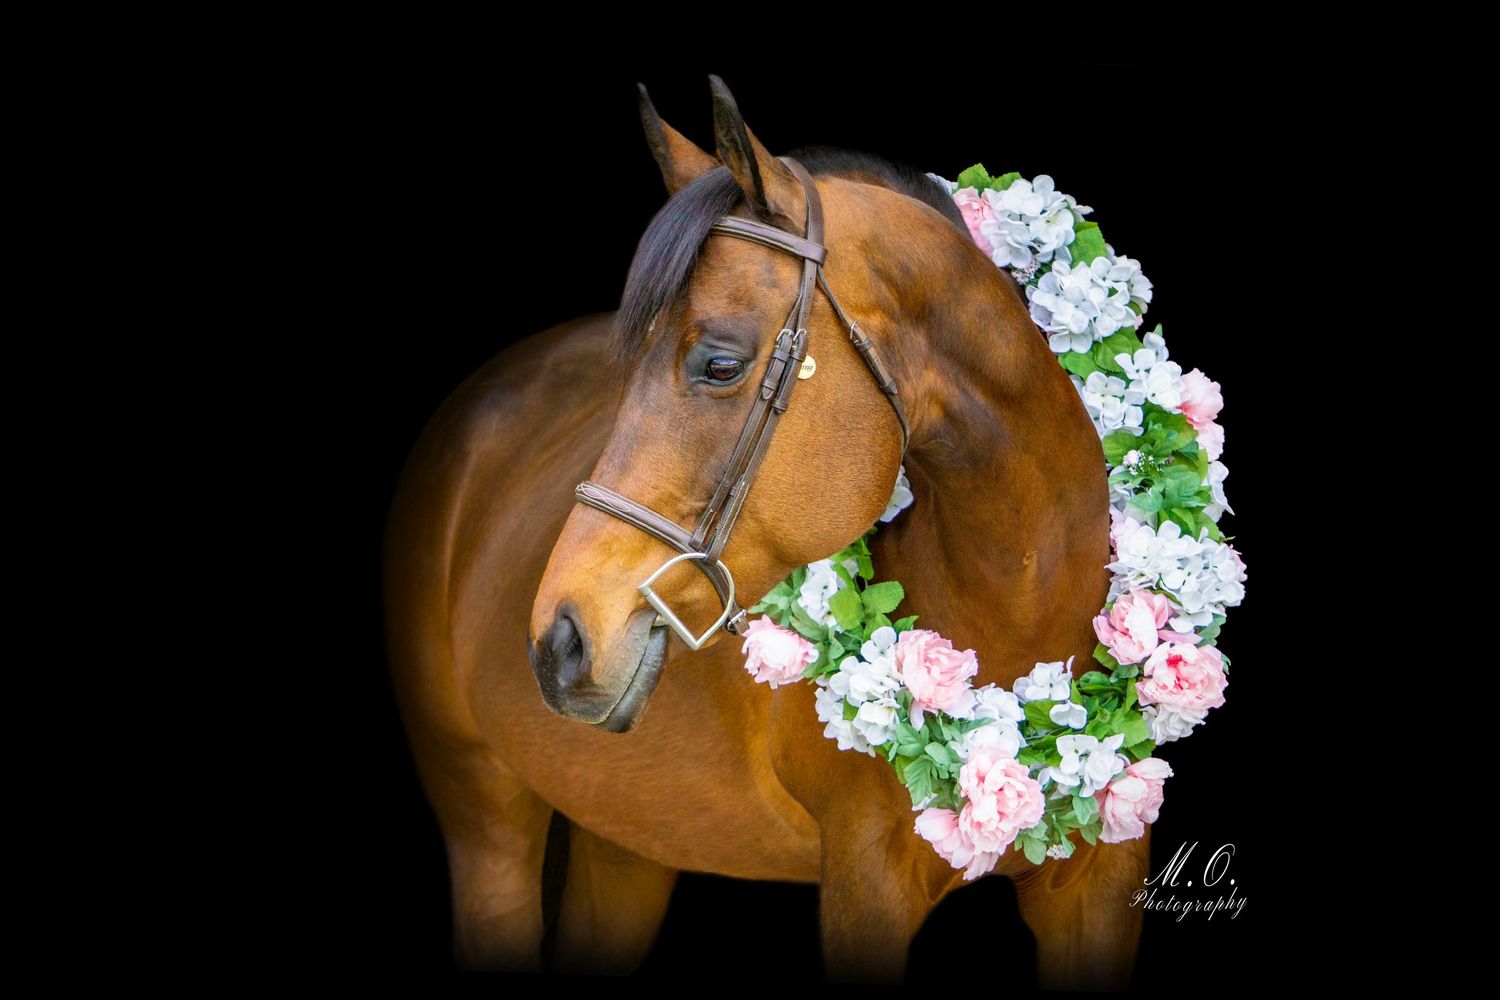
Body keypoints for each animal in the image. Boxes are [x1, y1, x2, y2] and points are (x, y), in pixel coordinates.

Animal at [382, 74, 1147, 989]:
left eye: (720, 364)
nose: (558, 641)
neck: (1023, 592)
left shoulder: (1103, 885)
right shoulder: (865, 882)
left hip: (628, 838)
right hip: (485, 819)